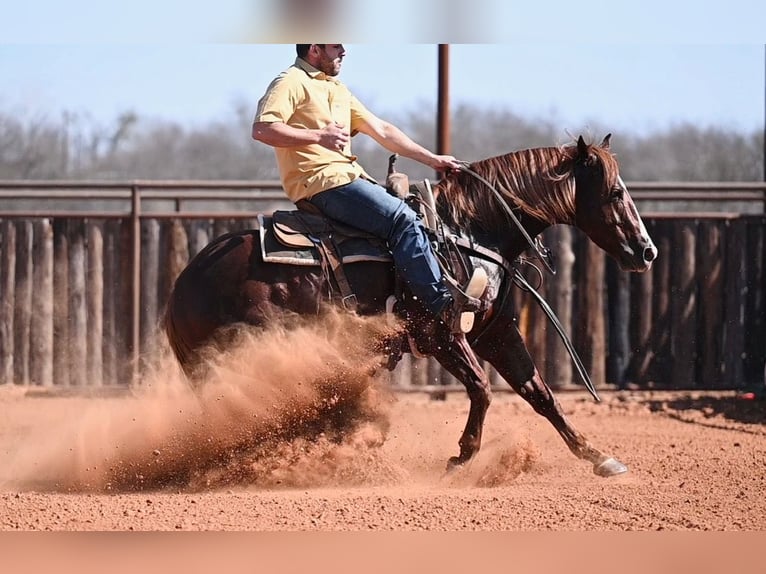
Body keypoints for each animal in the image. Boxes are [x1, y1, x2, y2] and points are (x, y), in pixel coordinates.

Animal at [163, 134, 658, 477]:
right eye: (616, 193)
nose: (647, 251)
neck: (469, 231)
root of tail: (183, 285)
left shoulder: (494, 330)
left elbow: (538, 392)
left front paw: (597, 456)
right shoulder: (439, 332)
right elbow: (483, 387)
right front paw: (461, 457)